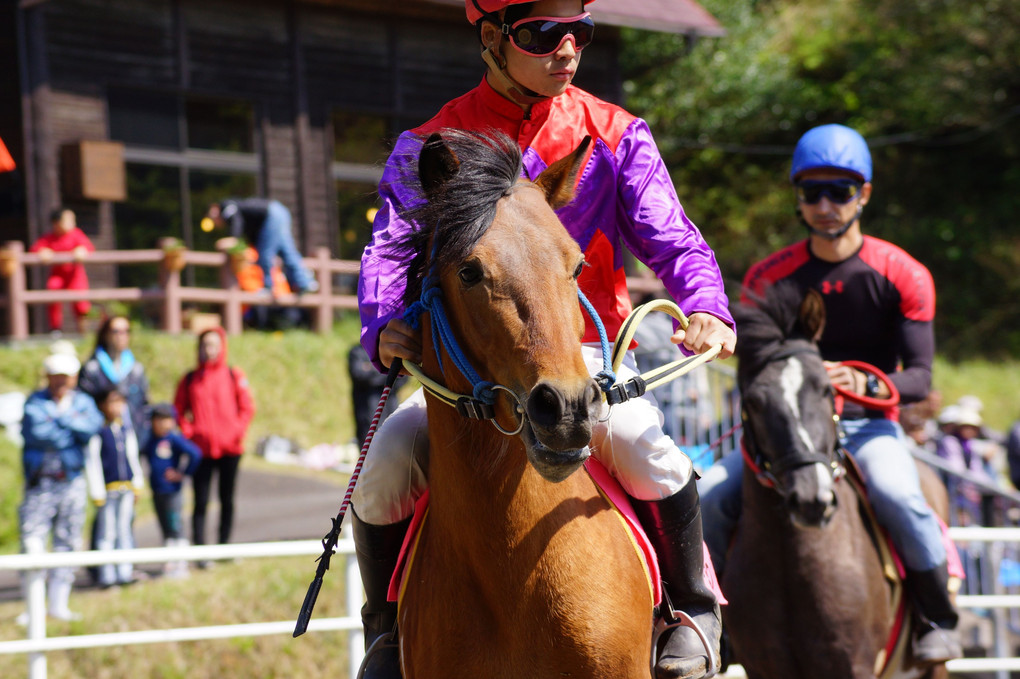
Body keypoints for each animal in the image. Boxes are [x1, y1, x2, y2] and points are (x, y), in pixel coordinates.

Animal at [722, 279, 950, 676]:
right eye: (752, 402)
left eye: (827, 389)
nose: (811, 501)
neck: (791, 562)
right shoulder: (764, 666)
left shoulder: (851, 663)